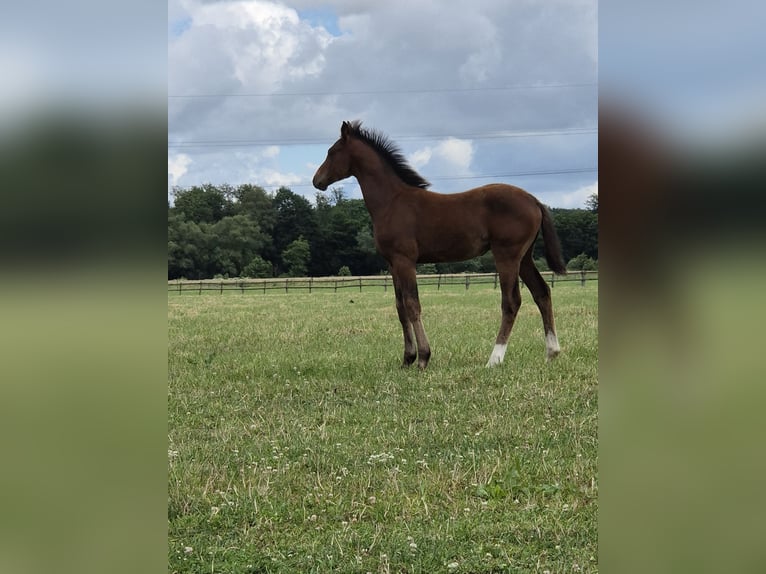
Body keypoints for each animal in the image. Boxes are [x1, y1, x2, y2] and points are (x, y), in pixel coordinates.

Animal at [314, 122, 568, 374]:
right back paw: (552, 352)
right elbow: (400, 307)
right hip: (524, 258)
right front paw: (407, 358)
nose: (317, 180)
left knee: (511, 301)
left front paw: (423, 358)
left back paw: (494, 359)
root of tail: (534, 200)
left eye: (332, 152)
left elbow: (412, 305)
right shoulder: (393, 263)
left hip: (507, 255)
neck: (392, 202)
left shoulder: (405, 260)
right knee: (542, 293)